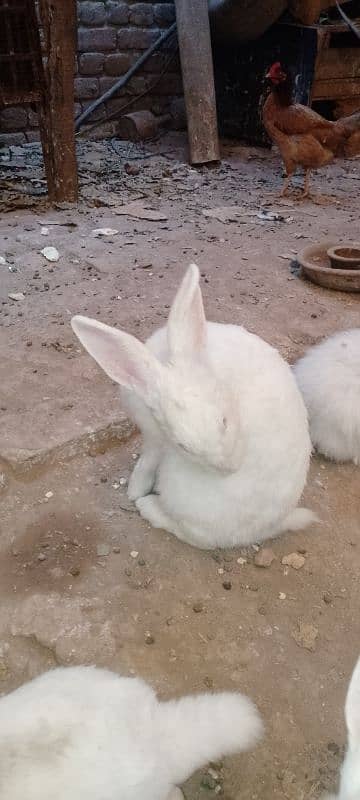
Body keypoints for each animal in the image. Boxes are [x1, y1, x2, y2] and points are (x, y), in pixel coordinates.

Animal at [72, 264, 316, 552]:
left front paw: (134, 492)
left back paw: (147, 506)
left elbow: (147, 462)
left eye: (224, 420)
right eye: (183, 446)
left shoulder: (154, 441)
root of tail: (270, 527)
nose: (229, 470)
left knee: (190, 534)